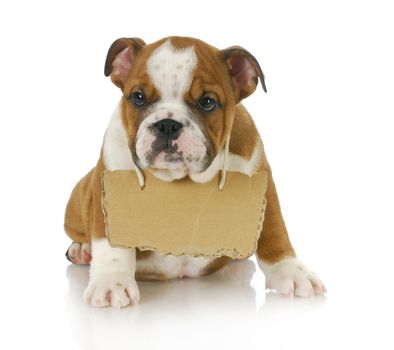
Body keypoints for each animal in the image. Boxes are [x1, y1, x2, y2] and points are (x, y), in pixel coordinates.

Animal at [63, 35, 324, 308]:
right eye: (138, 97)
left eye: (207, 102)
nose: (167, 124)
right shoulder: (109, 183)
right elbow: (111, 242)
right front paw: (111, 282)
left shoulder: (262, 183)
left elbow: (274, 232)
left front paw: (292, 272)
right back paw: (82, 249)